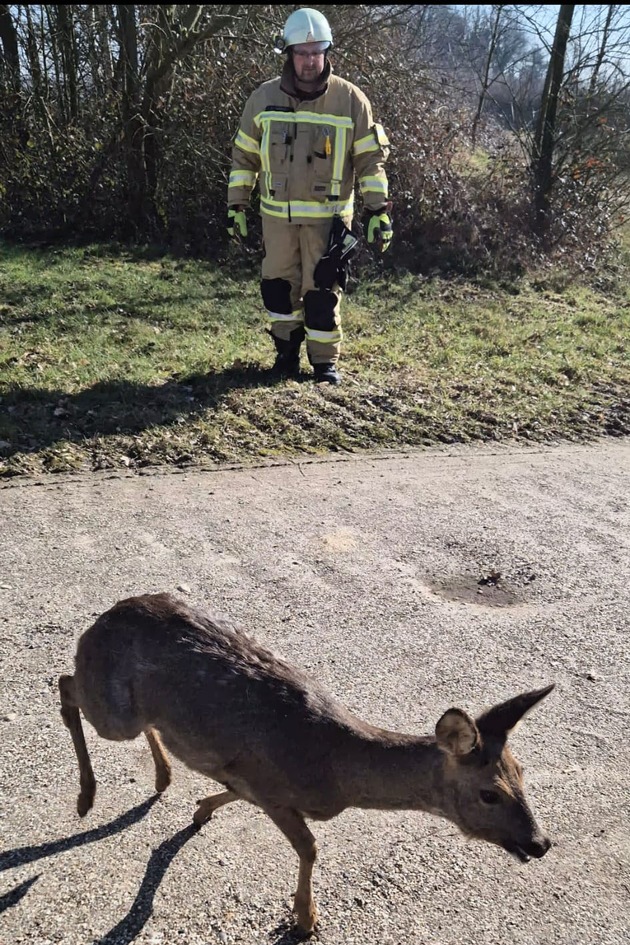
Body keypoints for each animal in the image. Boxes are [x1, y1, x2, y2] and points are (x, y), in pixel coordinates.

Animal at [58, 592, 552, 932]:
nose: (541, 842)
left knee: (130, 716)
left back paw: (163, 776)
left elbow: (231, 791)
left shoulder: (250, 777)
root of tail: (101, 620)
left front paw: (200, 809)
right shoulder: (272, 787)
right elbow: (310, 847)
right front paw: (305, 918)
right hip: (112, 710)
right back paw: (86, 796)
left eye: (522, 773)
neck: (339, 770)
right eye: (489, 793)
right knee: (66, 684)